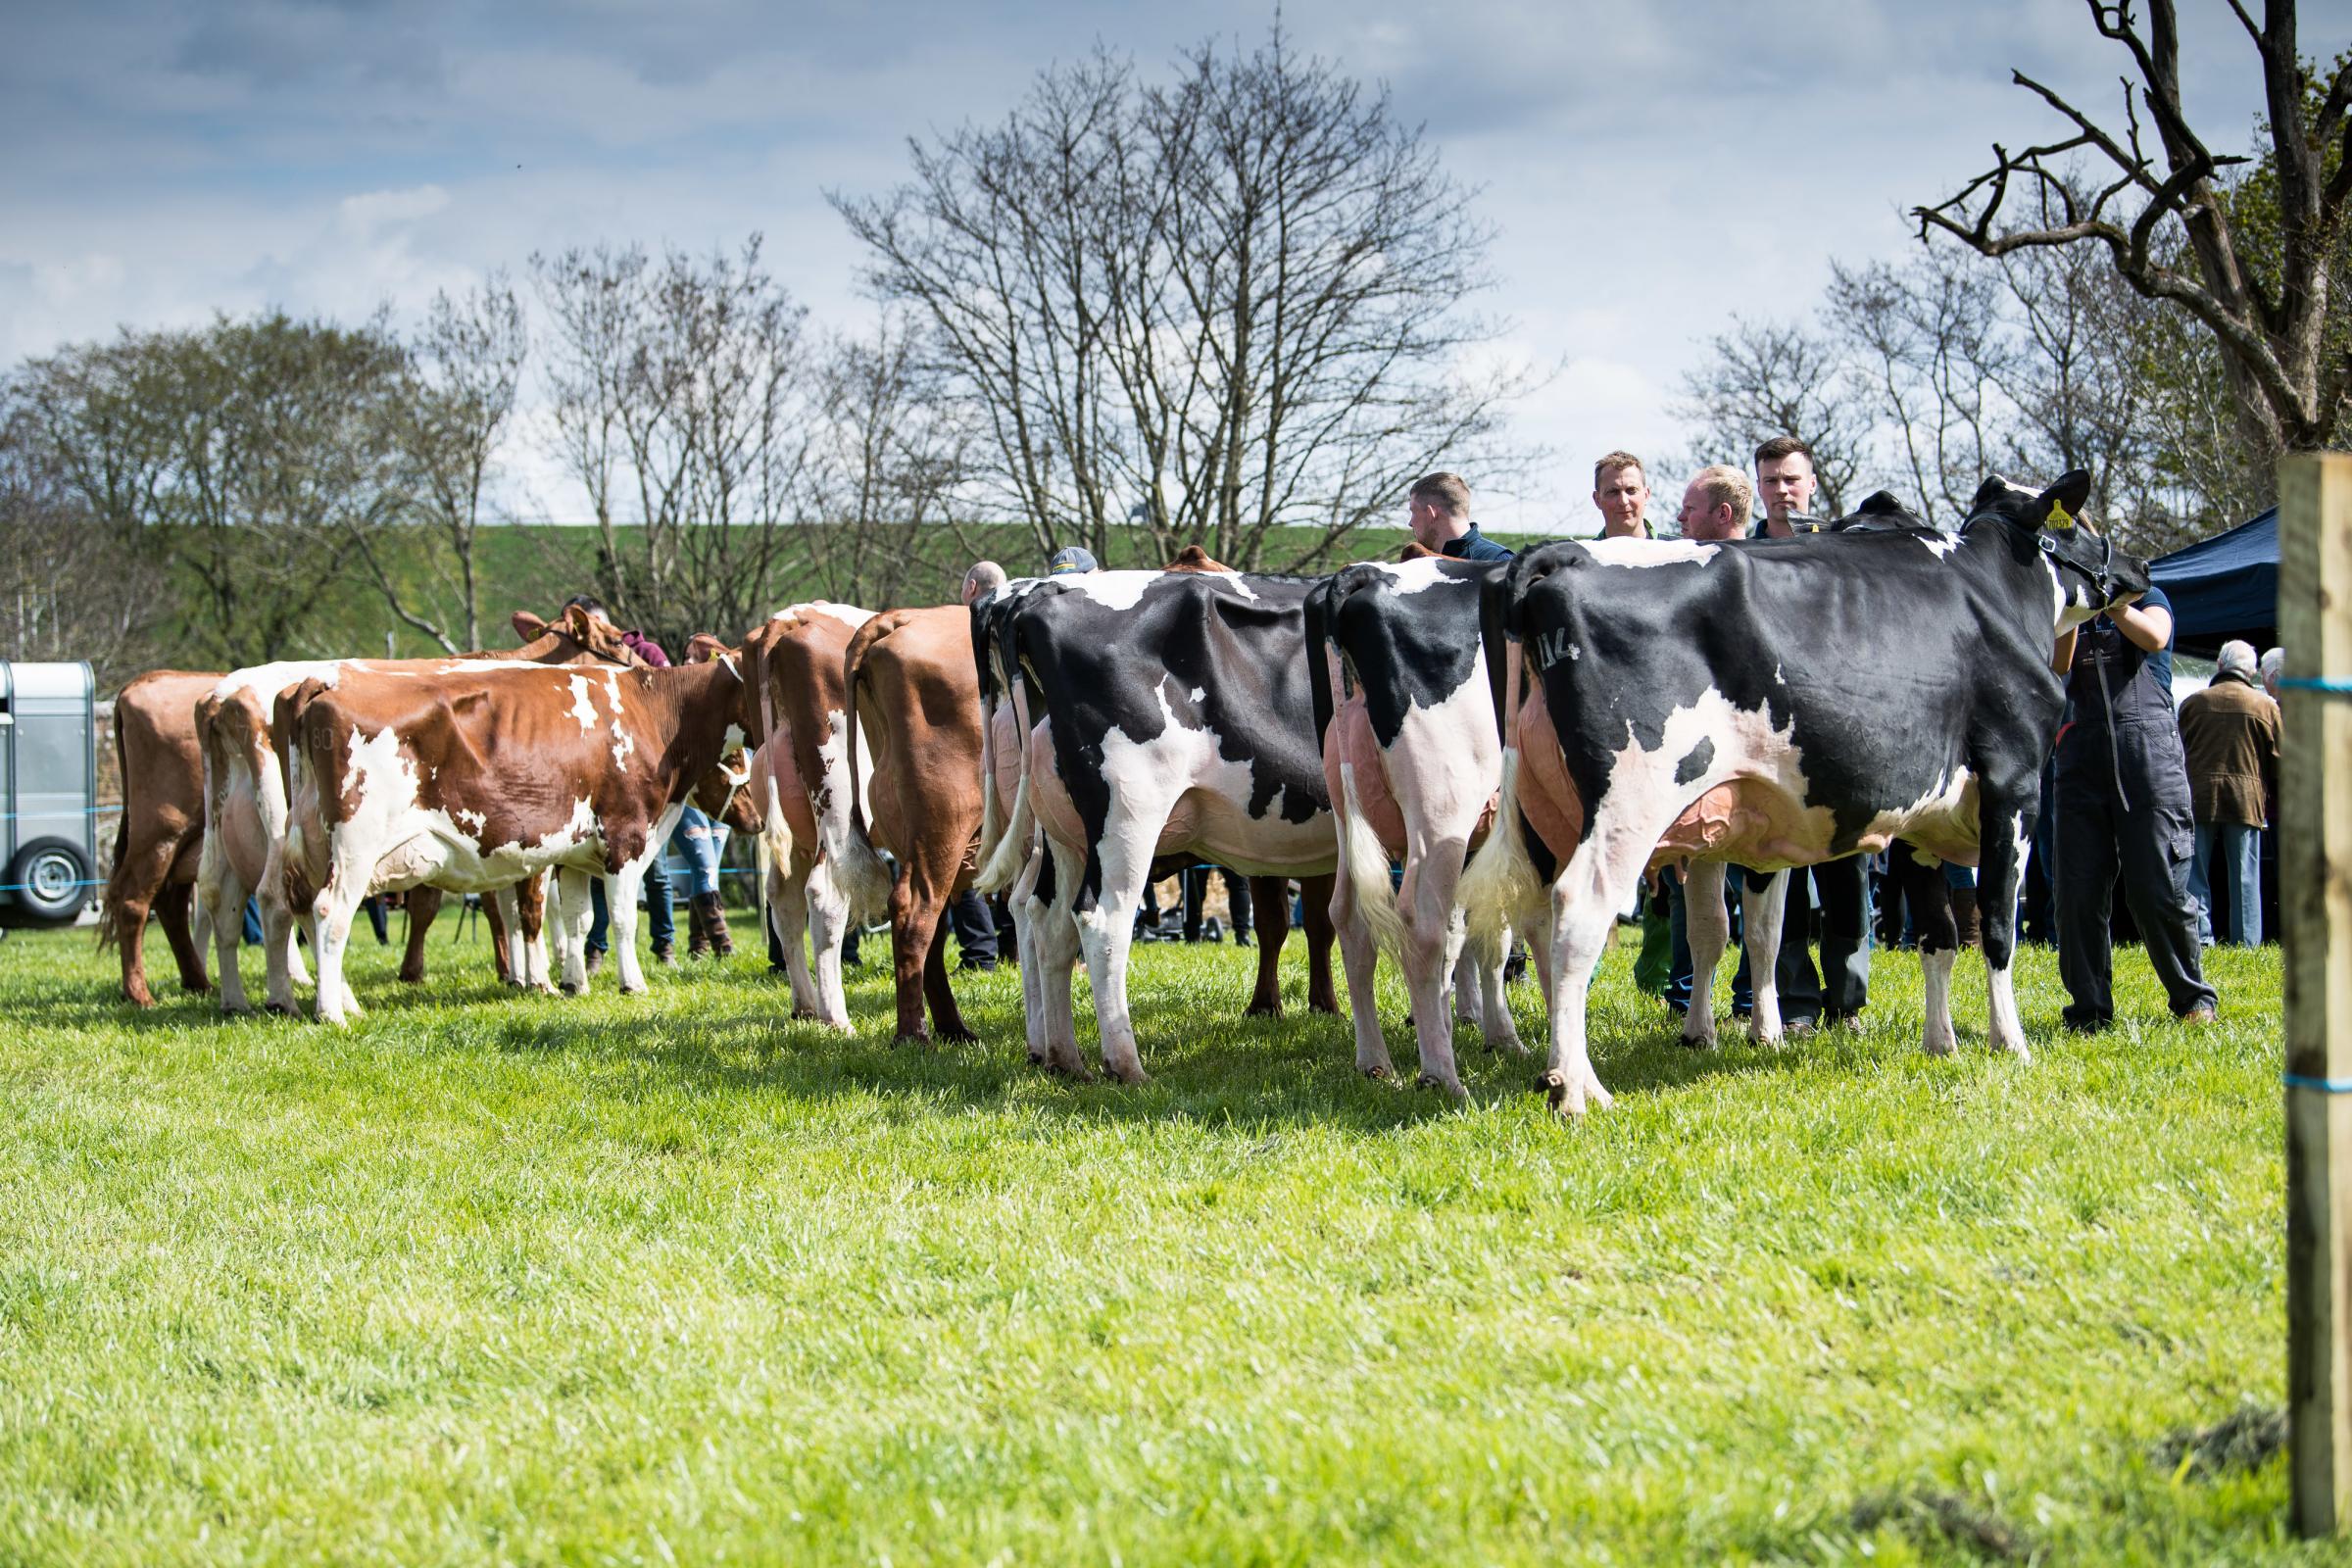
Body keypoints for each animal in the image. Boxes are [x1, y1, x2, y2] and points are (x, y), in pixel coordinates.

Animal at [98, 672, 221, 1005]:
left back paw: (198, 982)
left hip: (185, 845)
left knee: (170, 904)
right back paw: (139, 994)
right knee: (131, 899)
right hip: (162, 831)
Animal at [274, 629, 753, 1024]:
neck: (656, 711)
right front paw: (630, 982)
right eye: (733, 759)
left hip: (313, 841)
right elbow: (620, 917)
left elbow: (579, 919)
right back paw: (331, 1012)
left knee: (303, 907)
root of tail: (326, 682)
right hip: (356, 844)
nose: (758, 818)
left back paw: (342, 1001)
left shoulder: (576, 854)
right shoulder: (625, 835)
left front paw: (574, 983)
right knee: (329, 912)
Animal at [973, 570, 1345, 1086]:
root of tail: (1039, 593)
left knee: (1042, 915)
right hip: (1128, 815)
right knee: (1101, 919)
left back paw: (1062, 1058)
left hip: (1063, 833)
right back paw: (1125, 1066)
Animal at [1307, 557, 1524, 1100]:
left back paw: (1375, 1062)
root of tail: (1365, 574)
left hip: (1348, 812)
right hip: (1440, 809)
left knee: (1349, 916)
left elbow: (1476, 937)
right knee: (1421, 922)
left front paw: (1491, 1032)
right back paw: (1442, 1075)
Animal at [1458, 479, 2154, 1114]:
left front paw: (1940, 1044)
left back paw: (1538, 1060)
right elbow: (1999, 925)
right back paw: (1577, 1090)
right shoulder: (2014, 787)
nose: (2142, 566)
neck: (1995, 591)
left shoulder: (1918, 823)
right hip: (1627, 806)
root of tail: (1555, 555)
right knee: (1577, 915)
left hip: (1542, 816)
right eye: (2082, 521)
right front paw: (2009, 1043)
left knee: (1527, 922)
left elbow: (1933, 935)